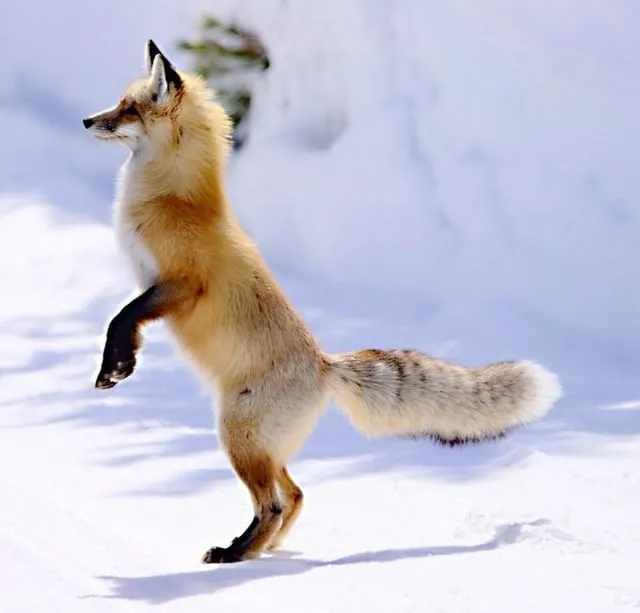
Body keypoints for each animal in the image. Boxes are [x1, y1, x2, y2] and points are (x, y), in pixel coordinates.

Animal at [83, 39, 563, 564]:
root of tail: (325, 366)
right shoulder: (157, 286)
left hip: (237, 437)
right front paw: (120, 365)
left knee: (273, 503)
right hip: (261, 447)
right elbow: (125, 318)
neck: (175, 199)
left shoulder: (181, 285)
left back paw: (234, 553)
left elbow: (121, 317)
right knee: (295, 496)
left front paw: (115, 366)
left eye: (128, 108)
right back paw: (259, 550)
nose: (87, 121)